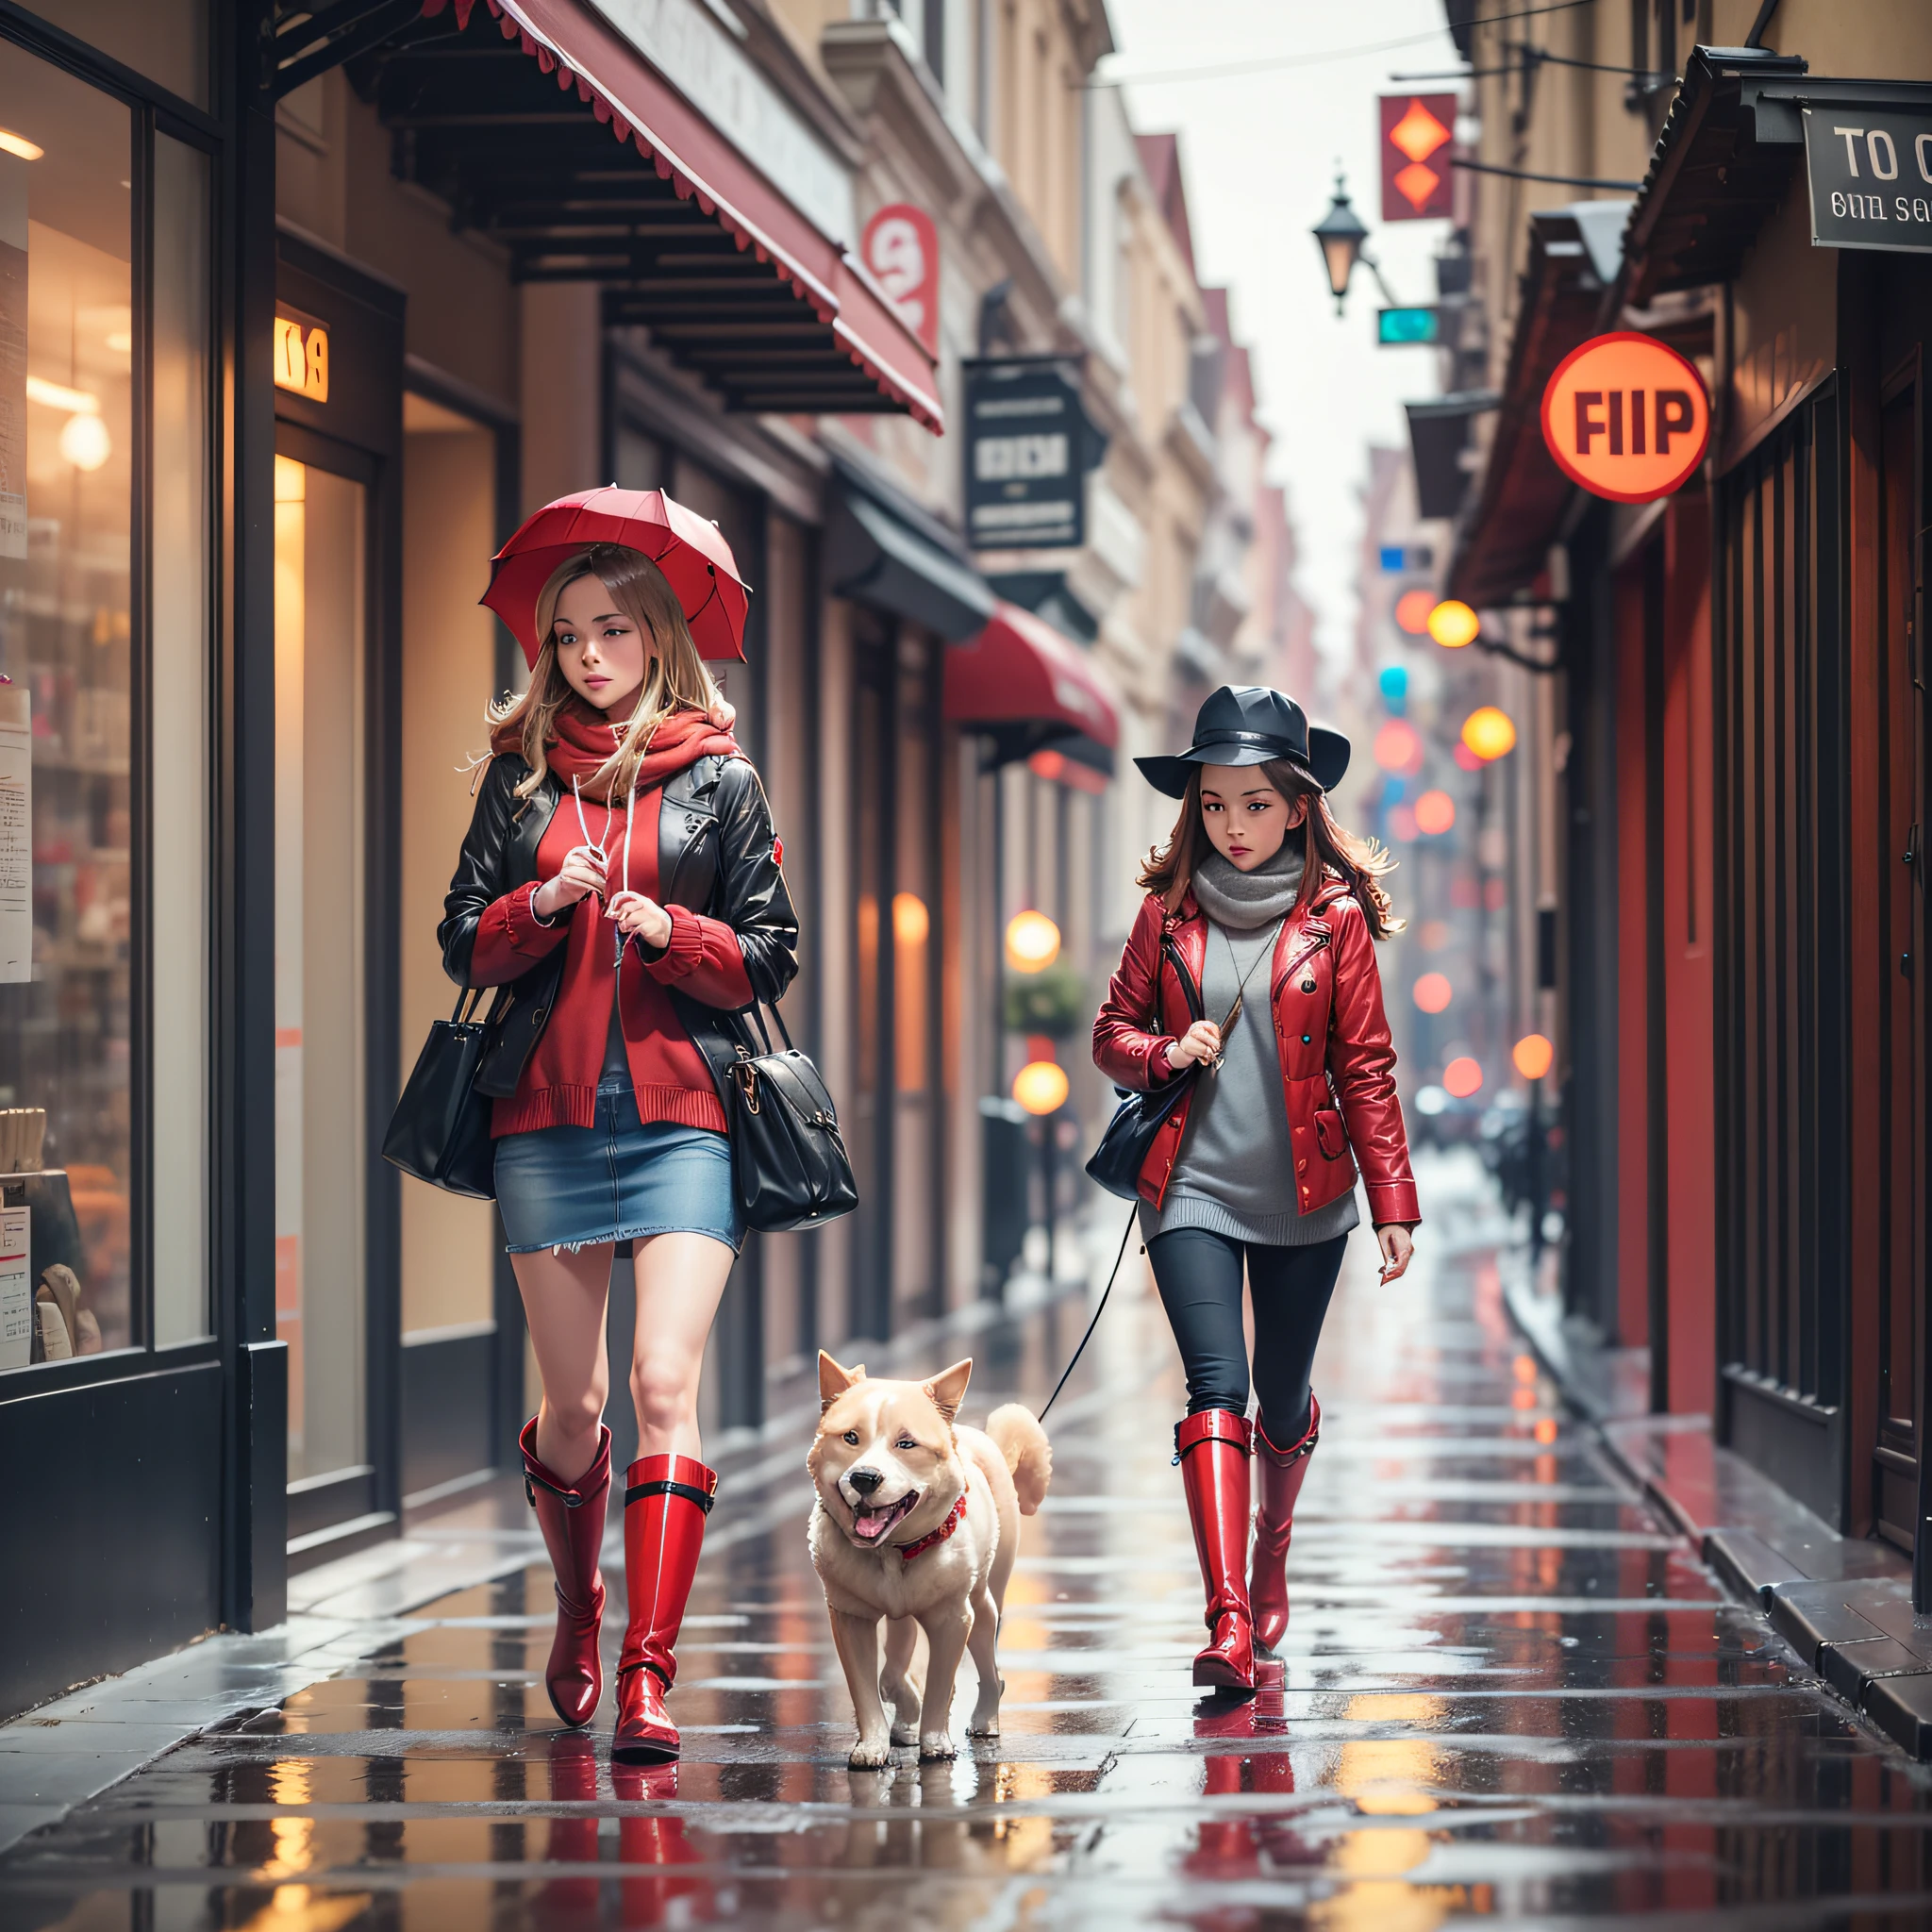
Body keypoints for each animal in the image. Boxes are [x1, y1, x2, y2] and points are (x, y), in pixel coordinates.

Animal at [815, 1359, 1058, 1769]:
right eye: (850, 1437)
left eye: (906, 1443)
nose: (864, 1478)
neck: (893, 1552)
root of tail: (978, 1436)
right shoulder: (850, 1616)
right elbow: (873, 1684)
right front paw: (874, 1745)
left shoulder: (952, 1617)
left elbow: (940, 1682)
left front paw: (935, 1743)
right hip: (904, 1618)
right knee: (897, 1660)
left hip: (985, 1602)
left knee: (989, 1667)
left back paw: (984, 1720)